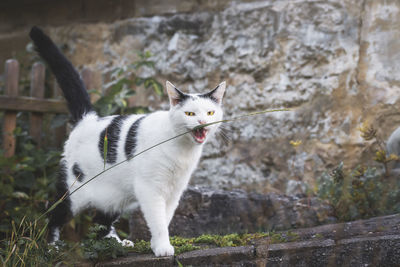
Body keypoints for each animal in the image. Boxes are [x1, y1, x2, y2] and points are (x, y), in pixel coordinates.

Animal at [29, 26, 227, 258]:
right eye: (189, 113)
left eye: (210, 112)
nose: (203, 122)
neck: (182, 150)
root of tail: (88, 119)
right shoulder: (150, 188)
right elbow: (157, 220)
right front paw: (163, 248)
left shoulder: (174, 191)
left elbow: (165, 218)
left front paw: (156, 244)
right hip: (74, 191)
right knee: (54, 213)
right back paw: (52, 247)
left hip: (115, 196)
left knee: (100, 221)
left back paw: (115, 244)